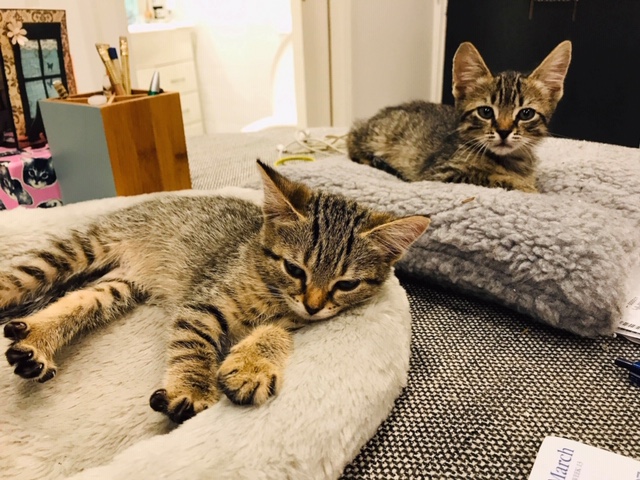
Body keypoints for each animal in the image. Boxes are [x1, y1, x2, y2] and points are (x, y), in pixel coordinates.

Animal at [1, 161, 429, 424]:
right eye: (295, 269)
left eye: (346, 284)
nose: (312, 304)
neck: (267, 281)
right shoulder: (203, 301)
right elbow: (194, 342)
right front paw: (192, 388)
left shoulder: (295, 321)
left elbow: (274, 332)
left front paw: (252, 366)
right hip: (73, 252)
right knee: (18, 278)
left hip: (119, 286)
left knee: (80, 299)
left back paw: (35, 341)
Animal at [347, 41, 572, 193]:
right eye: (485, 112)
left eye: (526, 113)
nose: (504, 131)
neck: (509, 161)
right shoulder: (440, 173)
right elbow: (491, 178)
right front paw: (526, 188)